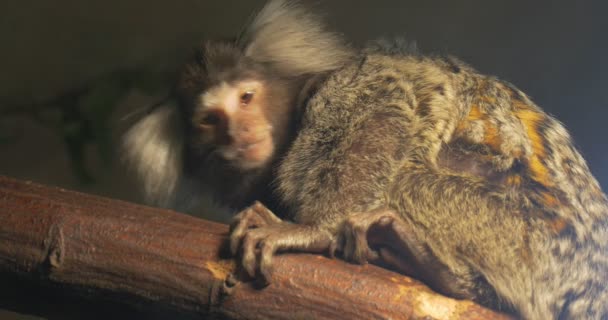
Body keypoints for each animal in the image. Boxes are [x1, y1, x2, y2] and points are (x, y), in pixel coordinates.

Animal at [121, 1, 604, 318]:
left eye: (246, 98)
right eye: (209, 120)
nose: (239, 133)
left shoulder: (341, 87)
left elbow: (384, 106)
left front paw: (311, 231)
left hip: (533, 243)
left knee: (407, 179)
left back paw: (443, 271)